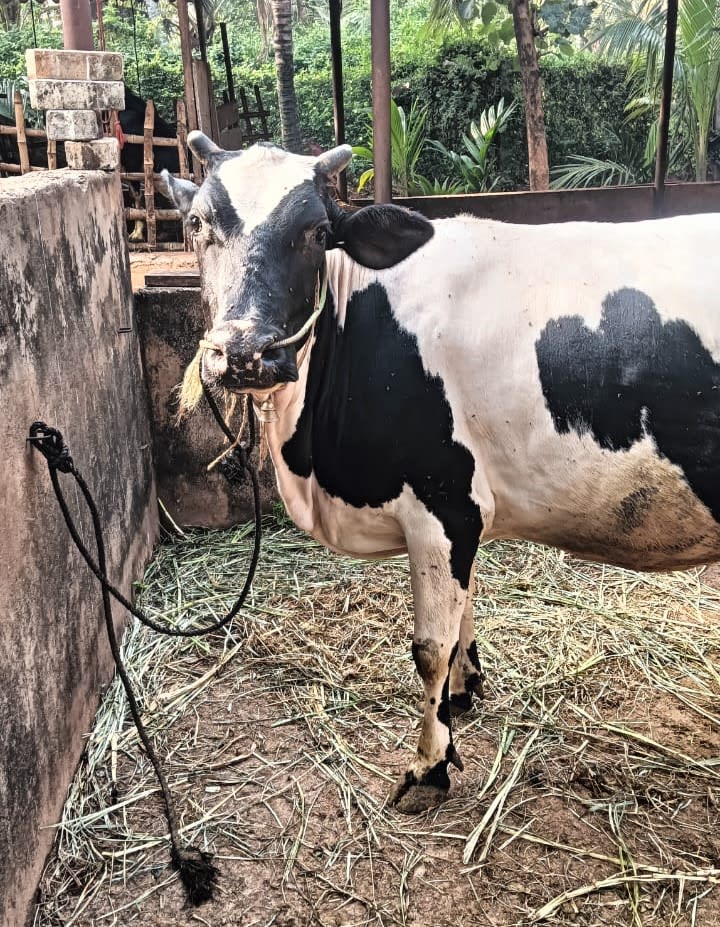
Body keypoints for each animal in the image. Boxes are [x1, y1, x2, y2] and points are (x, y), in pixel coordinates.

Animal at [161, 132, 720, 814]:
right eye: (197, 224)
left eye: (317, 231)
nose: (244, 351)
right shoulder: (464, 513)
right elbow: (460, 620)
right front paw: (464, 690)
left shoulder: (442, 500)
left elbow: (430, 647)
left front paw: (430, 766)